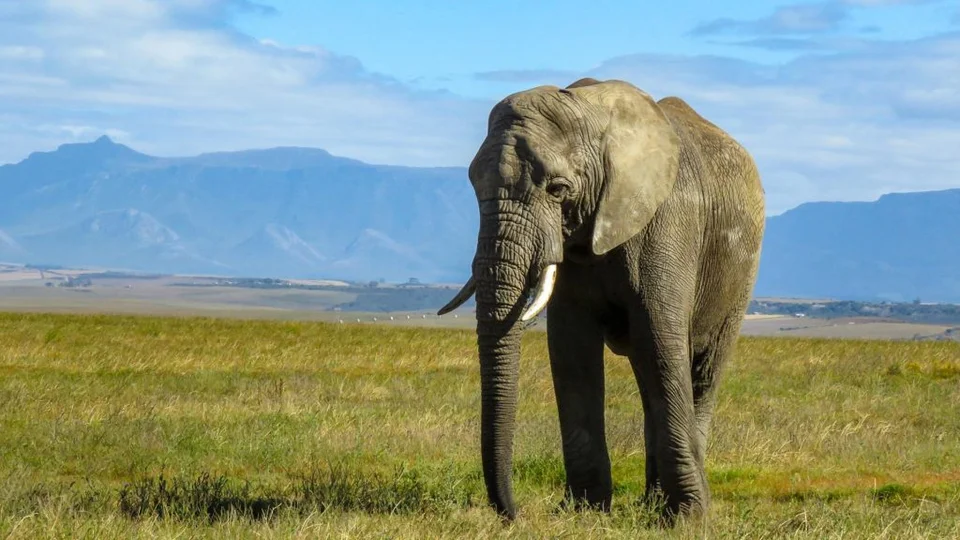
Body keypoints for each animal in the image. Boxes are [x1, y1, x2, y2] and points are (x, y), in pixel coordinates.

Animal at [438, 77, 765, 521]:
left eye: (558, 189)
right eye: (473, 185)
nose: (513, 513)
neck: (589, 111)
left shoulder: (668, 222)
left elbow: (662, 343)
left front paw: (687, 519)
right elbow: (571, 350)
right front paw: (585, 511)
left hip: (740, 273)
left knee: (698, 369)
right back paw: (651, 502)